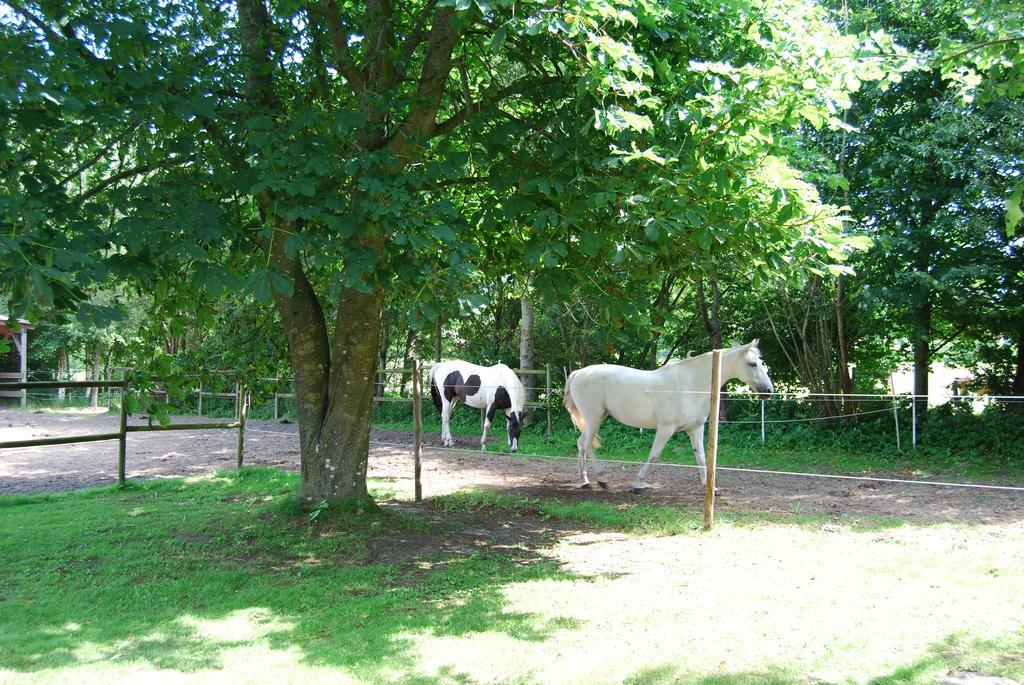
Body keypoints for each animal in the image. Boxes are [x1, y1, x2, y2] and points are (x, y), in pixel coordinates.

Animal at [565, 341, 770, 491]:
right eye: (752, 364)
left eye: (761, 363)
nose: (768, 391)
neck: (691, 385)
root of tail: (577, 373)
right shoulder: (666, 428)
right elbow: (654, 454)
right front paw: (639, 484)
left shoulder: (695, 429)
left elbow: (701, 457)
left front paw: (710, 487)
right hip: (594, 418)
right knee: (586, 444)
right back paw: (600, 479)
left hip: (594, 419)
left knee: (580, 443)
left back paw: (584, 480)